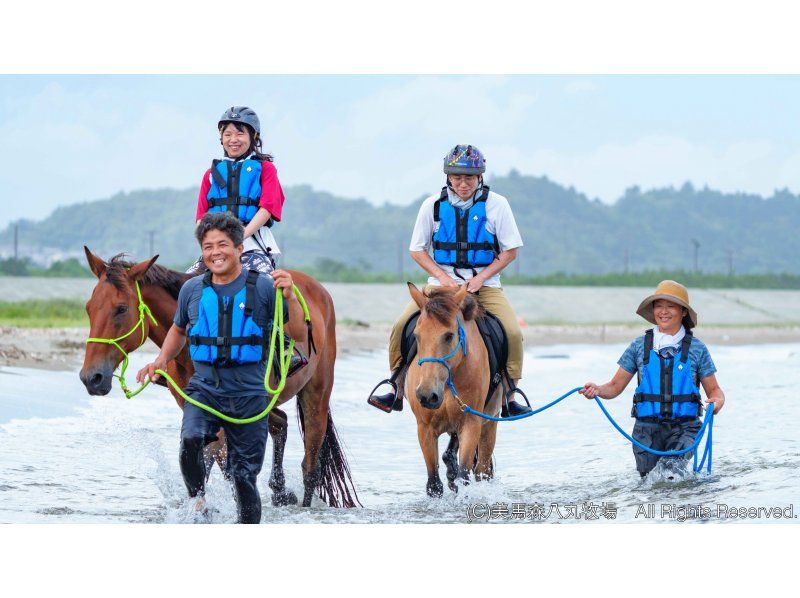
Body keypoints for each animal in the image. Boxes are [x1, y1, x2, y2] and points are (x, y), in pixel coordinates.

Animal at [79, 248, 358, 510]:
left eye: (121, 309)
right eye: (89, 308)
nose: (91, 378)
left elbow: (212, 460)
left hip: (316, 395)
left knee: (310, 466)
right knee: (281, 424)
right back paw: (279, 491)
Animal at [406, 284, 500, 500]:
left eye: (449, 335)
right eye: (416, 335)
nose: (427, 395)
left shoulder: (471, 423)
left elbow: (463, 477)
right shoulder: (425, 428)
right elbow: (434, 483)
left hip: (489, 425)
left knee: (482, 471)